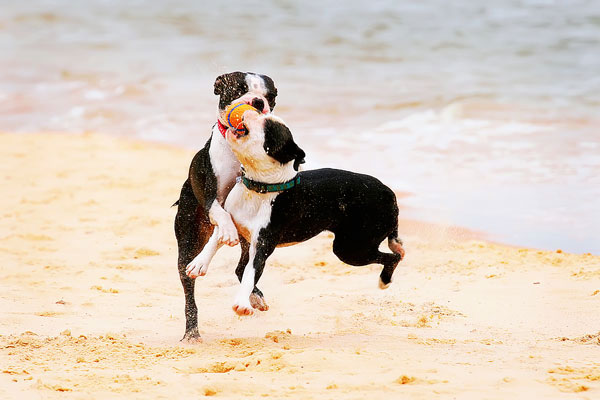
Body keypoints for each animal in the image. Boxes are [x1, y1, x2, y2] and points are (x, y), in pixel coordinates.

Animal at [173, 71, 276, 340]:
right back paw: (192, 332)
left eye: (270, 95)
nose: (257, 102)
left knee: (242, 268)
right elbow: (221, 214)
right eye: (239, 89)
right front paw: (227, 231)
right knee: (189, 291)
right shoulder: (213, 198)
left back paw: (255, 297)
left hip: (249, 241)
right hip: (187, 242)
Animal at [185, 109, 406, 316]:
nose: (252, 109)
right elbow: (215, 240)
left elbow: (251, 273)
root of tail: (389, 192)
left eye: (268, 126)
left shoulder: (262, 246)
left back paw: (385, 280)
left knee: (392, 257)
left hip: (350, 248)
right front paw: (199, 264)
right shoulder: (232, 222)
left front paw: (241, 303)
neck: (260, 187)